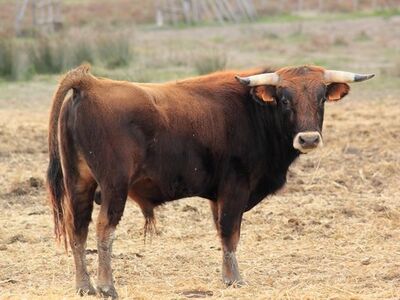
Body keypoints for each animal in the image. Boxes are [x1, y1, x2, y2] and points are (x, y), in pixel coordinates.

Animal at [47, 63, 376, 298]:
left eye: (321, 98)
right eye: (284, 99)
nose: (308, 139)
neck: (254, 111)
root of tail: (90, 84)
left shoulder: (217, 196)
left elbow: (221, 233)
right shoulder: (235, 188)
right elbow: (230, 233)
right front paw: (234, 279)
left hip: (79, 185)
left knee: (78, 230)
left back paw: (84, 286)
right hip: (114, 187)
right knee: (104, 229)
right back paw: (106, 286)